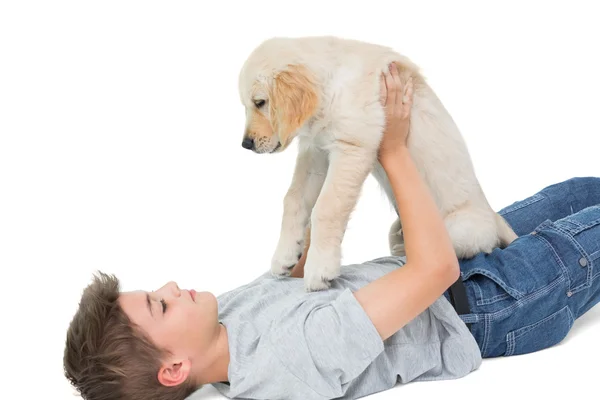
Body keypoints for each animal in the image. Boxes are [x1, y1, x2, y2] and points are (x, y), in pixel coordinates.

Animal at [237, 35, 516, 290]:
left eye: (260, 102)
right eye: (247, 106)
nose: (245, 144)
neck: (332, 85)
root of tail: (493, 216)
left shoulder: (352, 148)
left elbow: (327, 208)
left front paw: (320, 268)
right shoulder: (316, 152)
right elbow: (293, 199)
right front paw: (285, 254)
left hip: (458, 228)